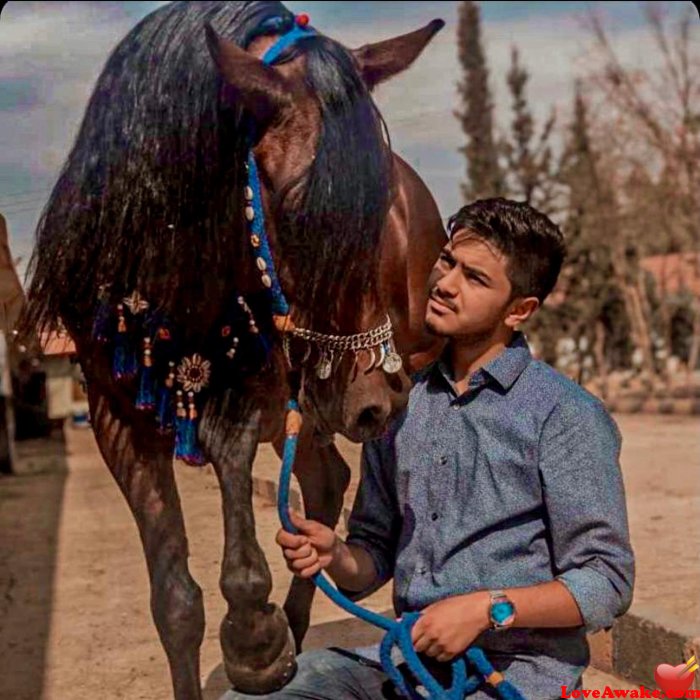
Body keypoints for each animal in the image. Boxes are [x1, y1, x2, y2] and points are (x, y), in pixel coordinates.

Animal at [20, 2, 448, 696]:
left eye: (385, 205)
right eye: (297, 207)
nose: (372, 398)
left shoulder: (251, 391)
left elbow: (230, 477)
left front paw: (254, 640)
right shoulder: (116, 418)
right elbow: (175, 603)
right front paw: (260, 639)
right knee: (325, 479)